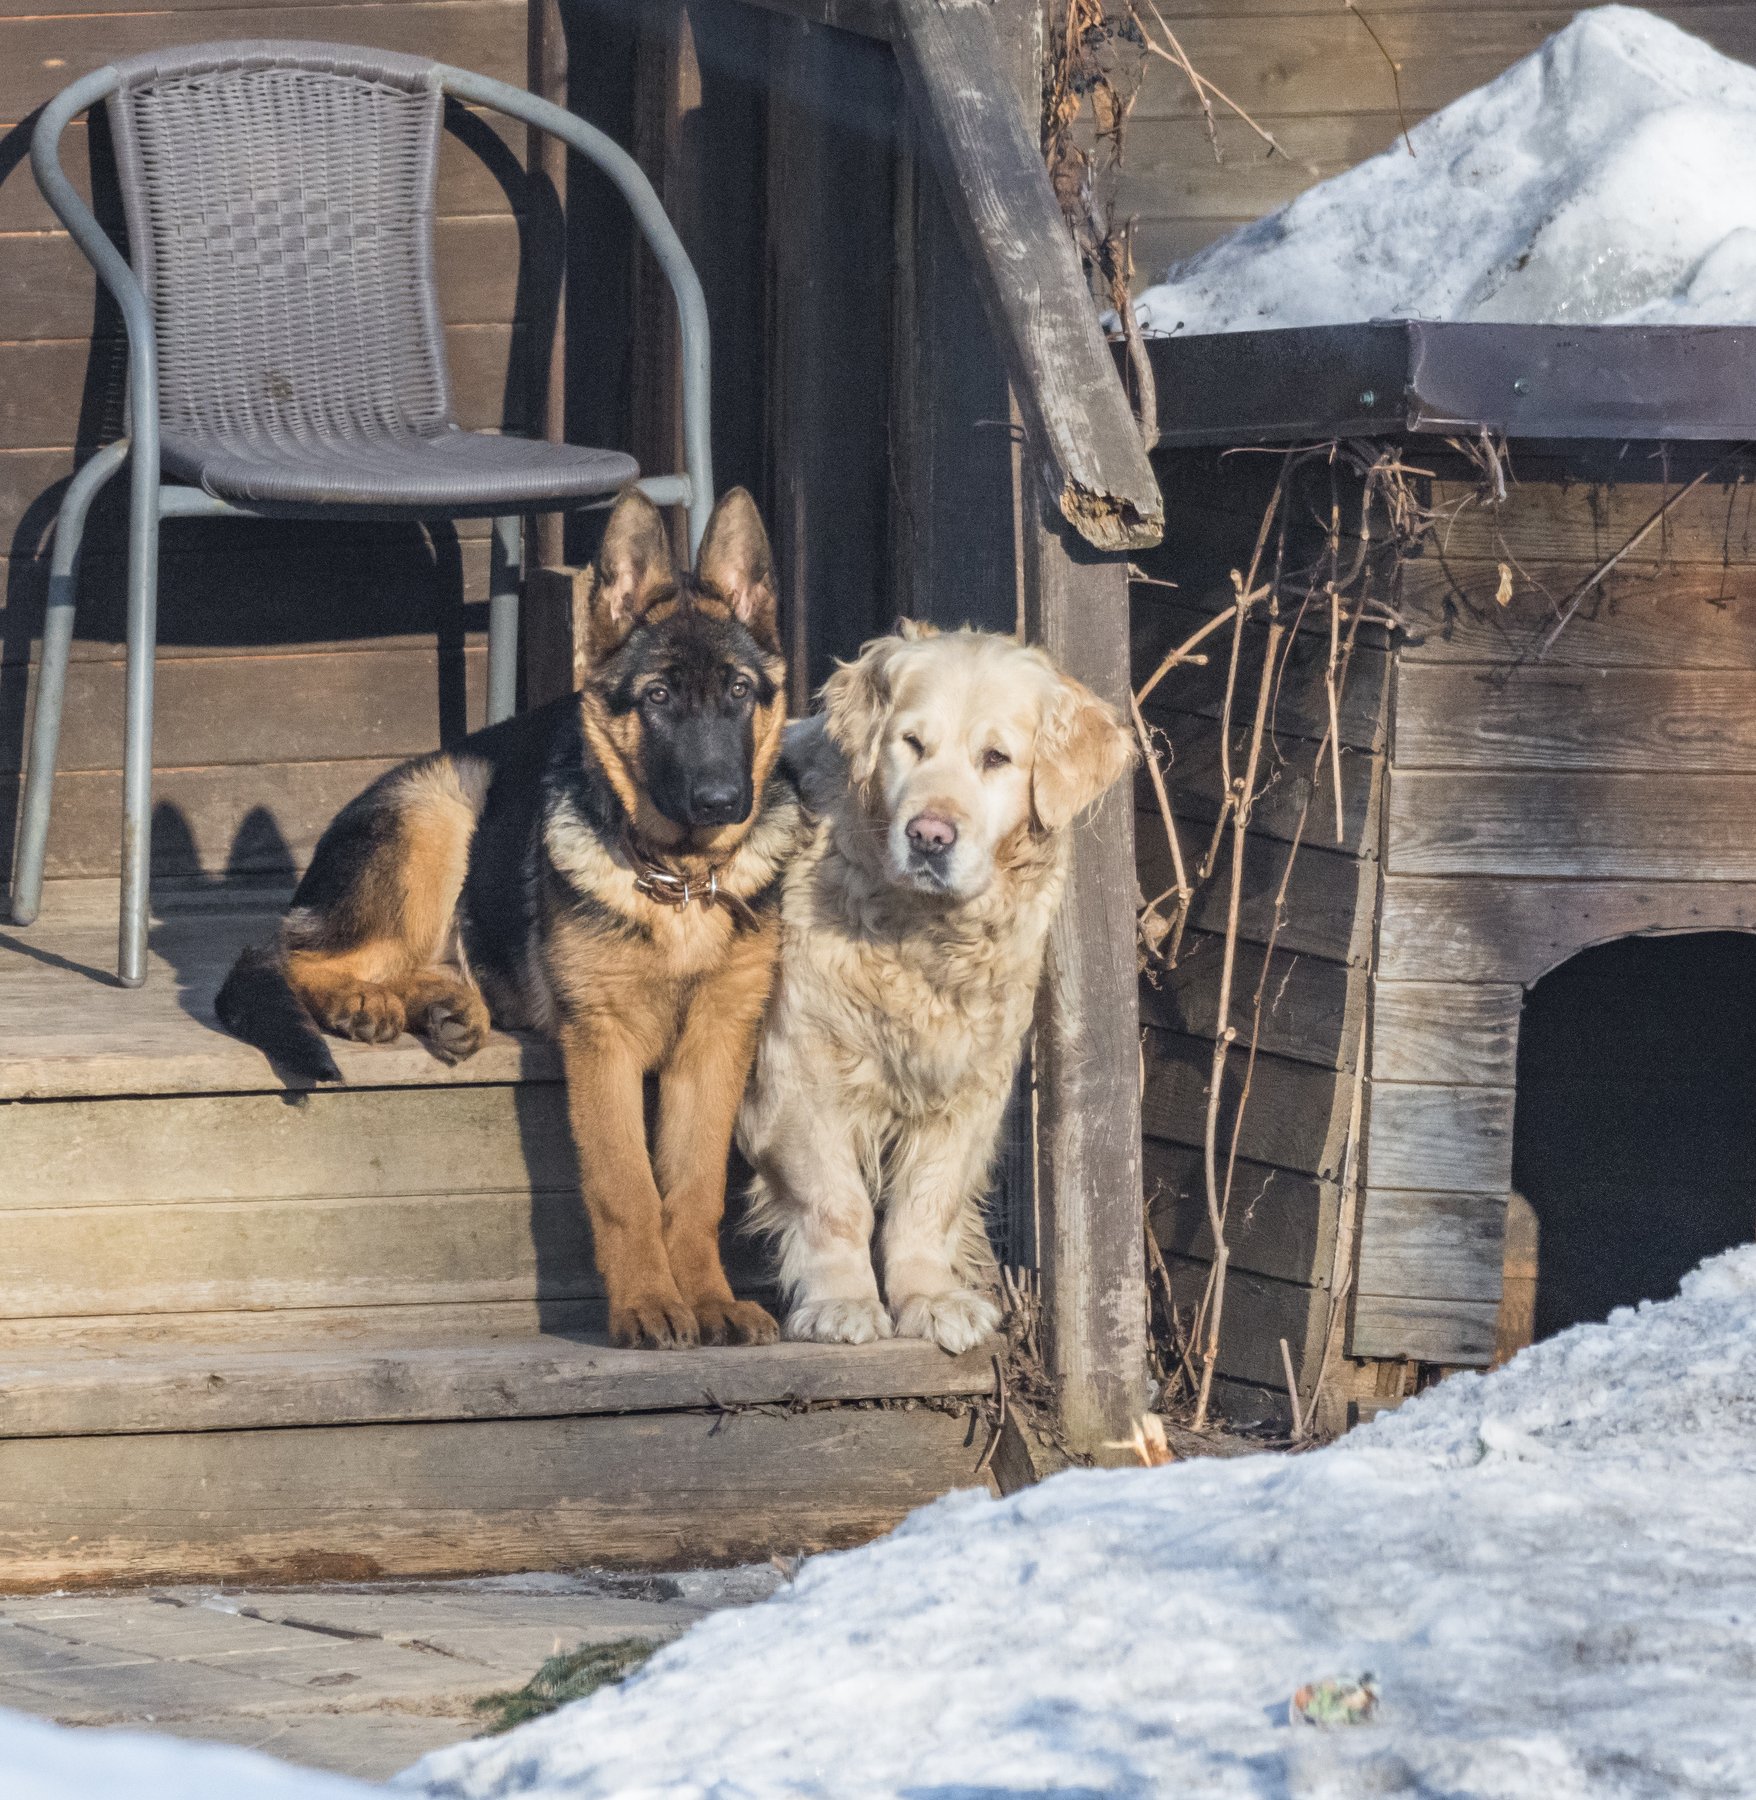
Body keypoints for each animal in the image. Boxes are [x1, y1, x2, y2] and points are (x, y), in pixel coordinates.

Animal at [215, 493, 798, 1353]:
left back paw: (445, 1006)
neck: (679, 883)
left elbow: (693, 1188)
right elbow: (627, 1185)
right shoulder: (603, 1045)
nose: (722, 801)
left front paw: (709, 1297)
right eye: (657, 698)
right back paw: (367, 1004)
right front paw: (648, 1303)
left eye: (738, 692)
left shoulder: (716, 1043)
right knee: (296, 955)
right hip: (442, 807)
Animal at [737, 630, 1129, 1353]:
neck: (921, 937)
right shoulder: (795, 1074)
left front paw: (929, 1297)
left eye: (996, 758)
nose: (929, 835)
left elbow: (926, 1201)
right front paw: (842, 1302)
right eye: (911, 744)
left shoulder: (972, 1084)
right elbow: (836, 1201)